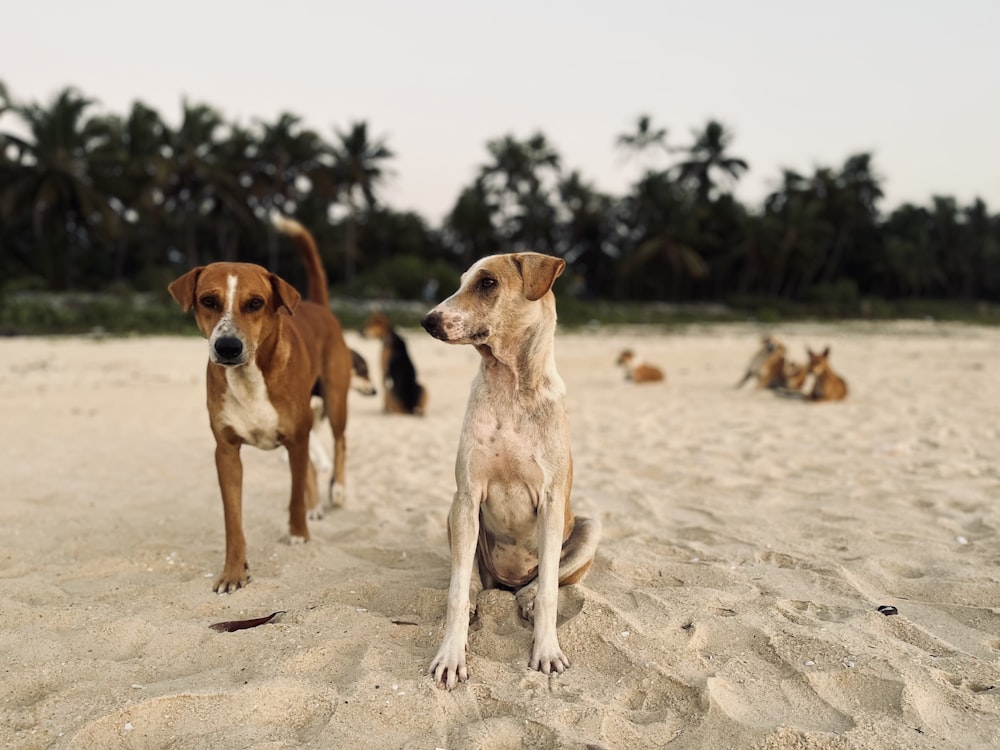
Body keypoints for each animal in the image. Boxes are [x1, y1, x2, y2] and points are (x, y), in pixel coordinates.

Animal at [165, 216, 352, 592]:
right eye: (208, 300)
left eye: (255, 303)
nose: (227, 347)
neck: (250, 376)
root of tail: (318, 306)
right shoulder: (226, 452)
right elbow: (233, 521)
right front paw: (234, 571)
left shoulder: (296, 437)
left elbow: (294, 493)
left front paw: (298, 533)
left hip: (336, 400)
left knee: (340, 440)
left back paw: (336, 490)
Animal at [418, 253, 596, 692]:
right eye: (463, 281)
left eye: (487, 283)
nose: (428, 321)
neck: (510, 386)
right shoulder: (467, 496)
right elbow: (456, 592)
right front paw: (451, 657)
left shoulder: (551, 502)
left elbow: (549, 589)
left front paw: (546, 651)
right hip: (454, 515)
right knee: (471, 579)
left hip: (589, 528)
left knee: (545, 580)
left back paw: (525, 596)